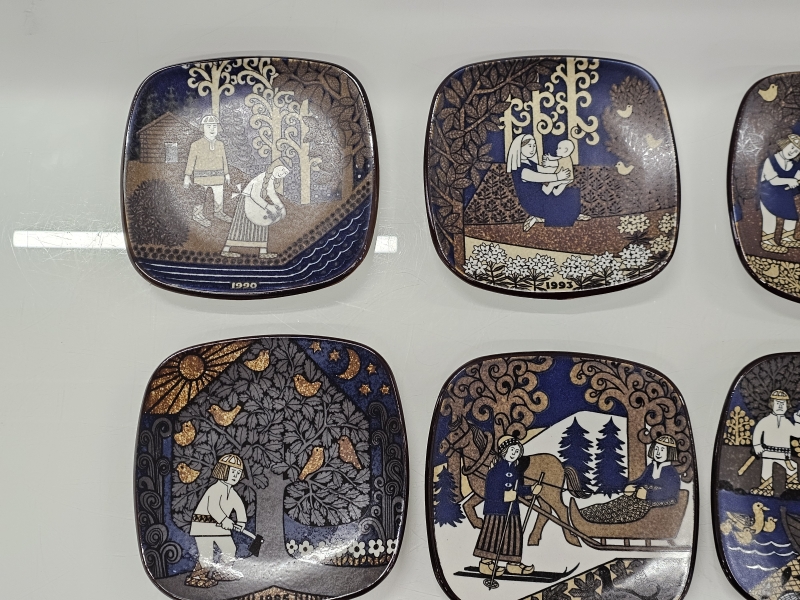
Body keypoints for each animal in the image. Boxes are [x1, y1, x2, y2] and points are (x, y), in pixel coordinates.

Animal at [439, 414, 585, 547]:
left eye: (456, 433)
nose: (441, 446)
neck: (482, 463)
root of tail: (561, 466)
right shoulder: (482, 494)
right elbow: (467, 505)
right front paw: (479, 523)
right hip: (542, 495)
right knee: (546, 512)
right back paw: (533, 539)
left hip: (551, 494)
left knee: (561, 510)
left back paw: (573, 539)